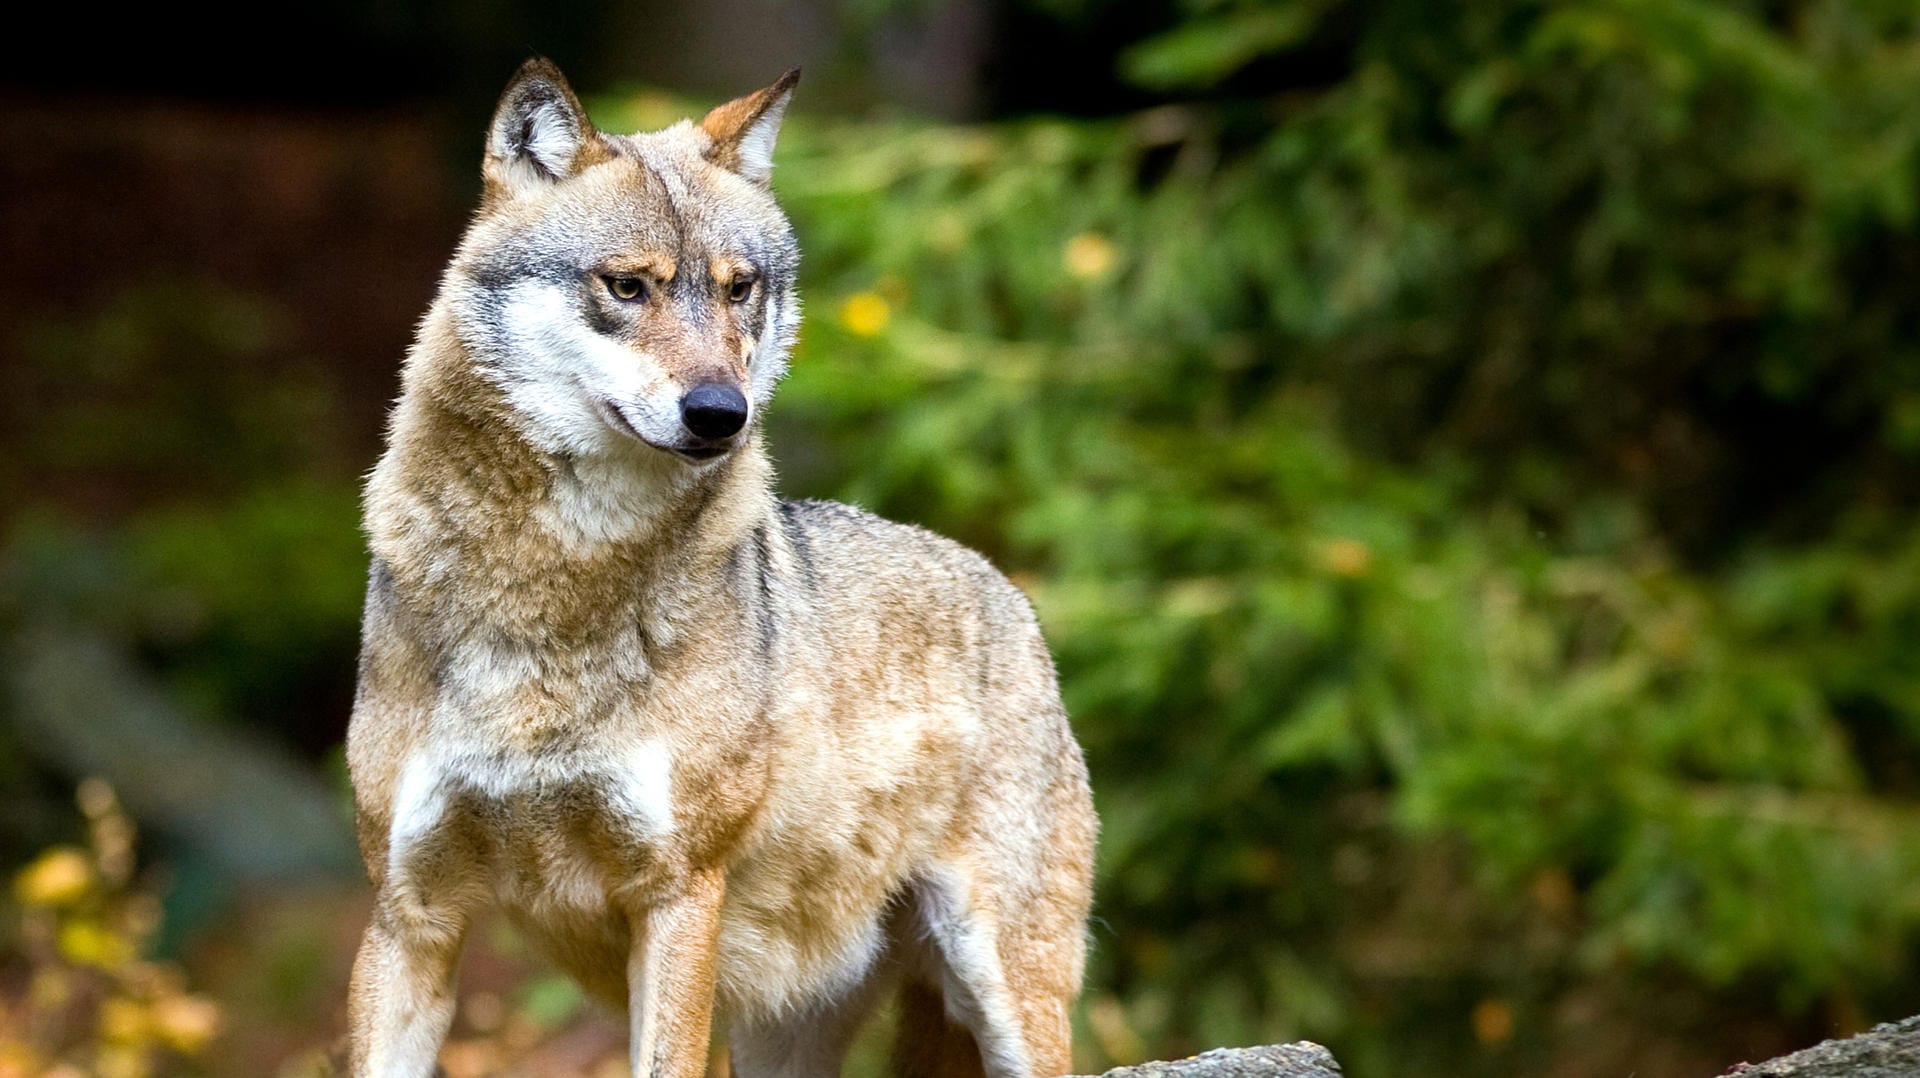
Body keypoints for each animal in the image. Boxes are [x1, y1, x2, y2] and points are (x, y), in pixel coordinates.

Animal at [345, 61, 1098, 1076]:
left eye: (741, 290)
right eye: (628, 286)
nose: (720, 412)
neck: (554, 583)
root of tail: (1007, 590)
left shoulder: (678, 894)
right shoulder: (407, 913)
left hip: (1005, 996)